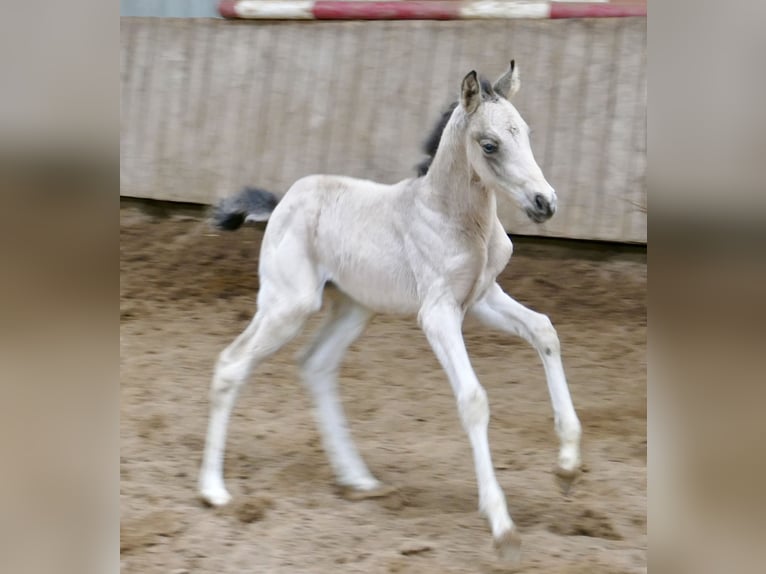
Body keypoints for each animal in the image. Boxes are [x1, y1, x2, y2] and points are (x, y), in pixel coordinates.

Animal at [199, 61, 582, 562]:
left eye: (527, 133)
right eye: (490, 144)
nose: (545, 203)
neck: (456, 218)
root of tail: (283, 200)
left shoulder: (482, 298)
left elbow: (544, 330)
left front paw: (568, 469)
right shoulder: (438, 313)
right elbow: (473, 399)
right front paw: (502, 528)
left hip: (353, 307)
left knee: (315, 365)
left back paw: (359, 480)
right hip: (287, 305)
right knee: (232, 363)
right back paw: (213, 490)